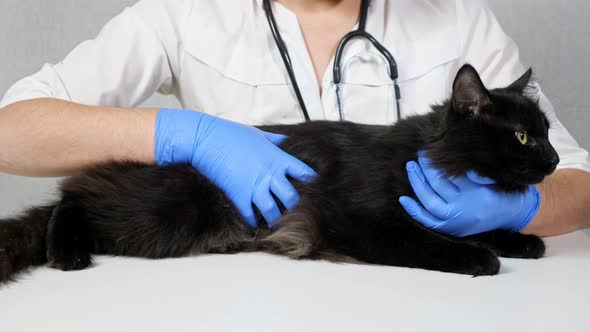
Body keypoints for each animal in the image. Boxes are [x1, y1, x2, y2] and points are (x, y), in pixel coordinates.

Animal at [0, 65, 560, 282]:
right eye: (522, 137)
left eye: (548, 131)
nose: (555, 160)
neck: (429, 156)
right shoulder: (359, 221)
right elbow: (431, 243)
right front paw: (481, 258)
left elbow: (474, 223)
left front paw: (520, 238)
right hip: (169, 211)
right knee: (72, 197)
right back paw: (68, 252)